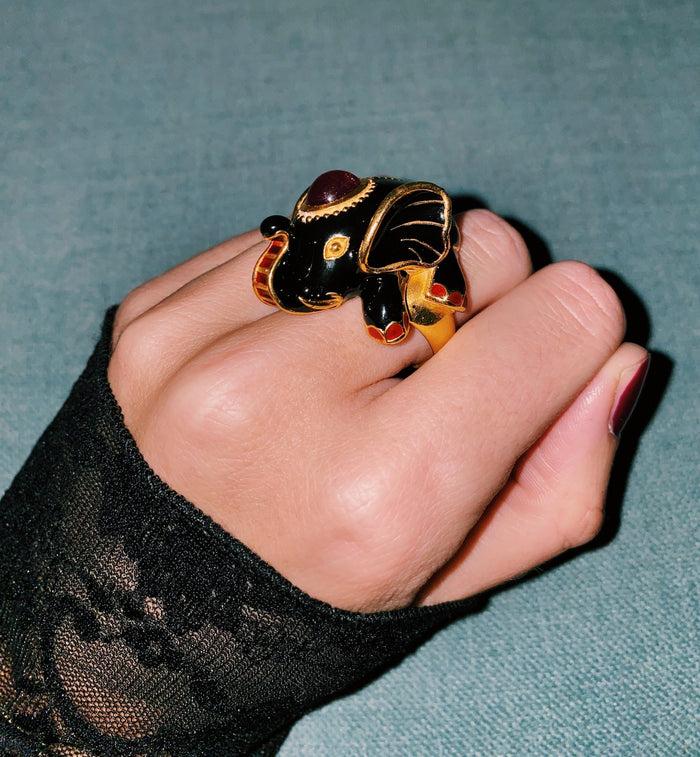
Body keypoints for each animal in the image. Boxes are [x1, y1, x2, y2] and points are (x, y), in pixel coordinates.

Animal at [253, 170, 467, 349]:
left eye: (336, 247)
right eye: (292, 242)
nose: (270, 227)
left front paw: (388, 333)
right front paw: (390, 332)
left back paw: (448, 296)